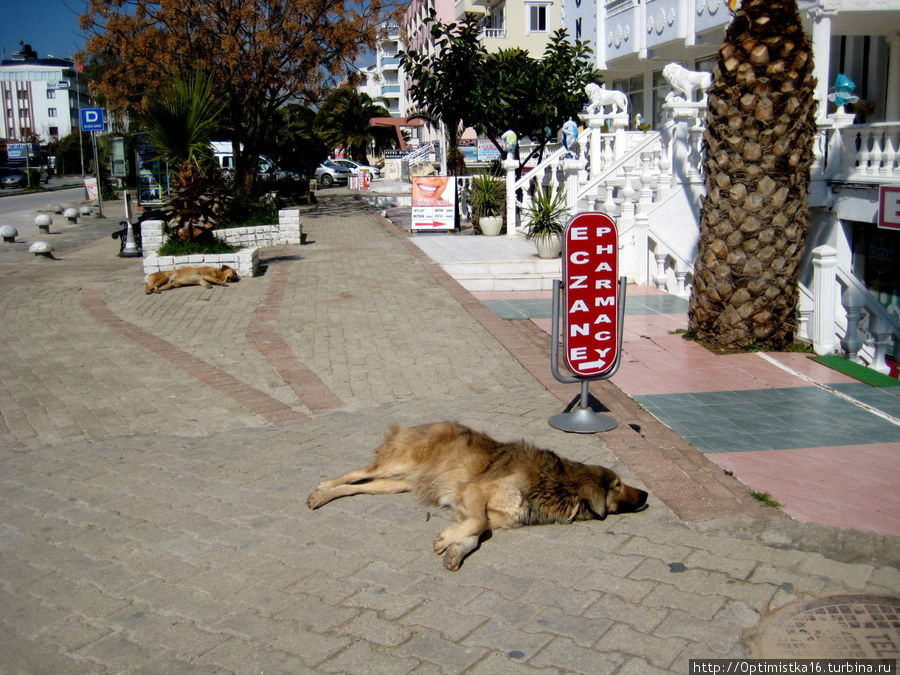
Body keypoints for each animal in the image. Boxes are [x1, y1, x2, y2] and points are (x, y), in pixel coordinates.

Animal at [310, 422, 648, 572]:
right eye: (617, 484)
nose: (646, 493)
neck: (554, 484)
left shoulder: (492, 514)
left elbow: (478, 532)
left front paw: (455, 550)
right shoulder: (473, 493)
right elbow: (478, 523)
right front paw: (447, 539)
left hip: (396, 484)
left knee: (360, 485)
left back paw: (326, 495)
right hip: (400, 465)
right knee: (356, 473)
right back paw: (321, 488)